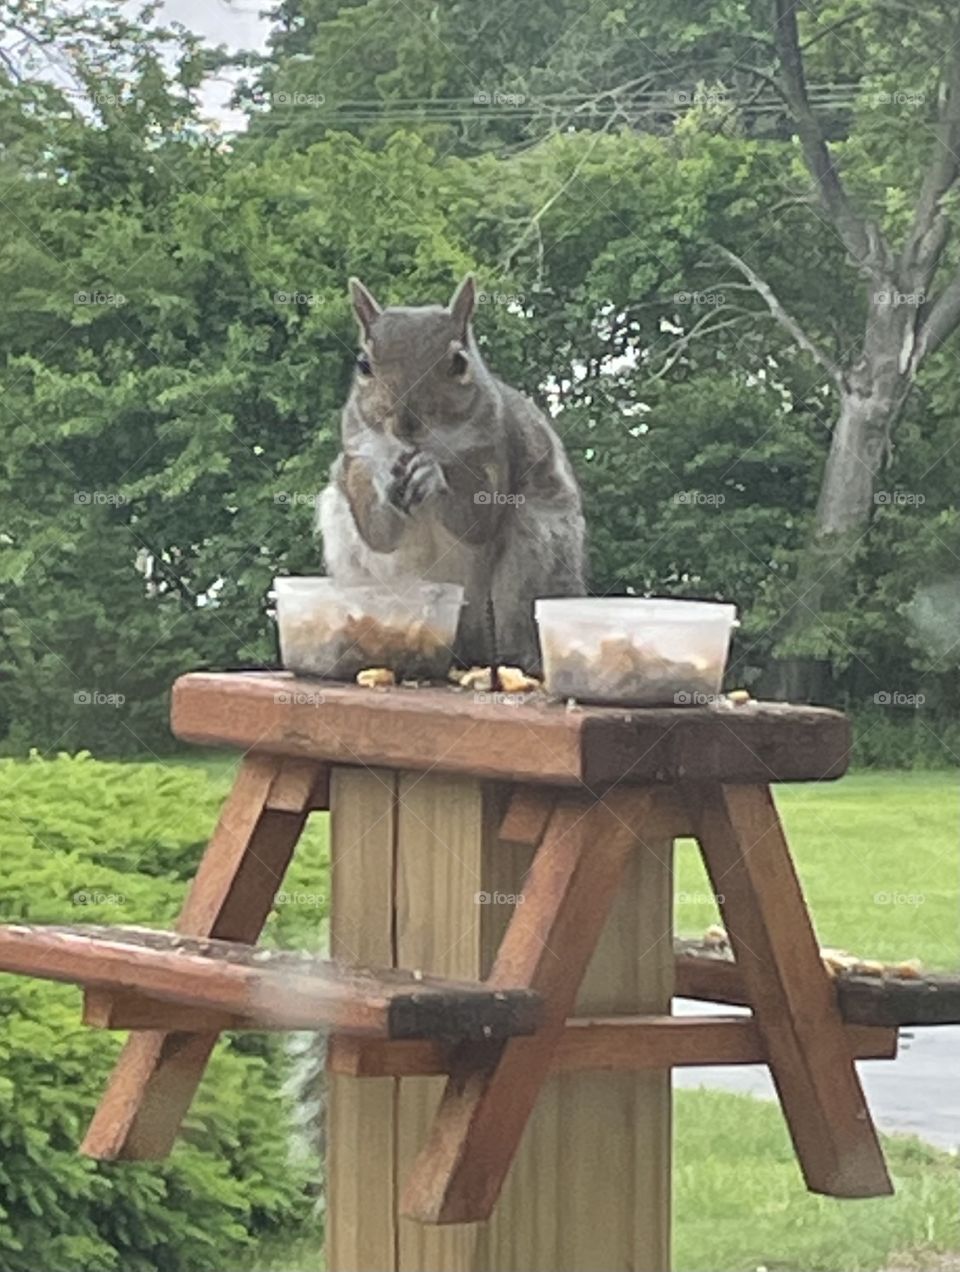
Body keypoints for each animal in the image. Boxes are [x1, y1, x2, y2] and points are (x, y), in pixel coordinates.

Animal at [317, 275, 586, 670]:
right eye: (364, 365)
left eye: (458, 363)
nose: (405, 425)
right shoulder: (358, 458)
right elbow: (379, 535)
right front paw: (388, 481)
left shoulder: (498, 449)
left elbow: (478, 521)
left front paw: (434, 476)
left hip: (537, 552)